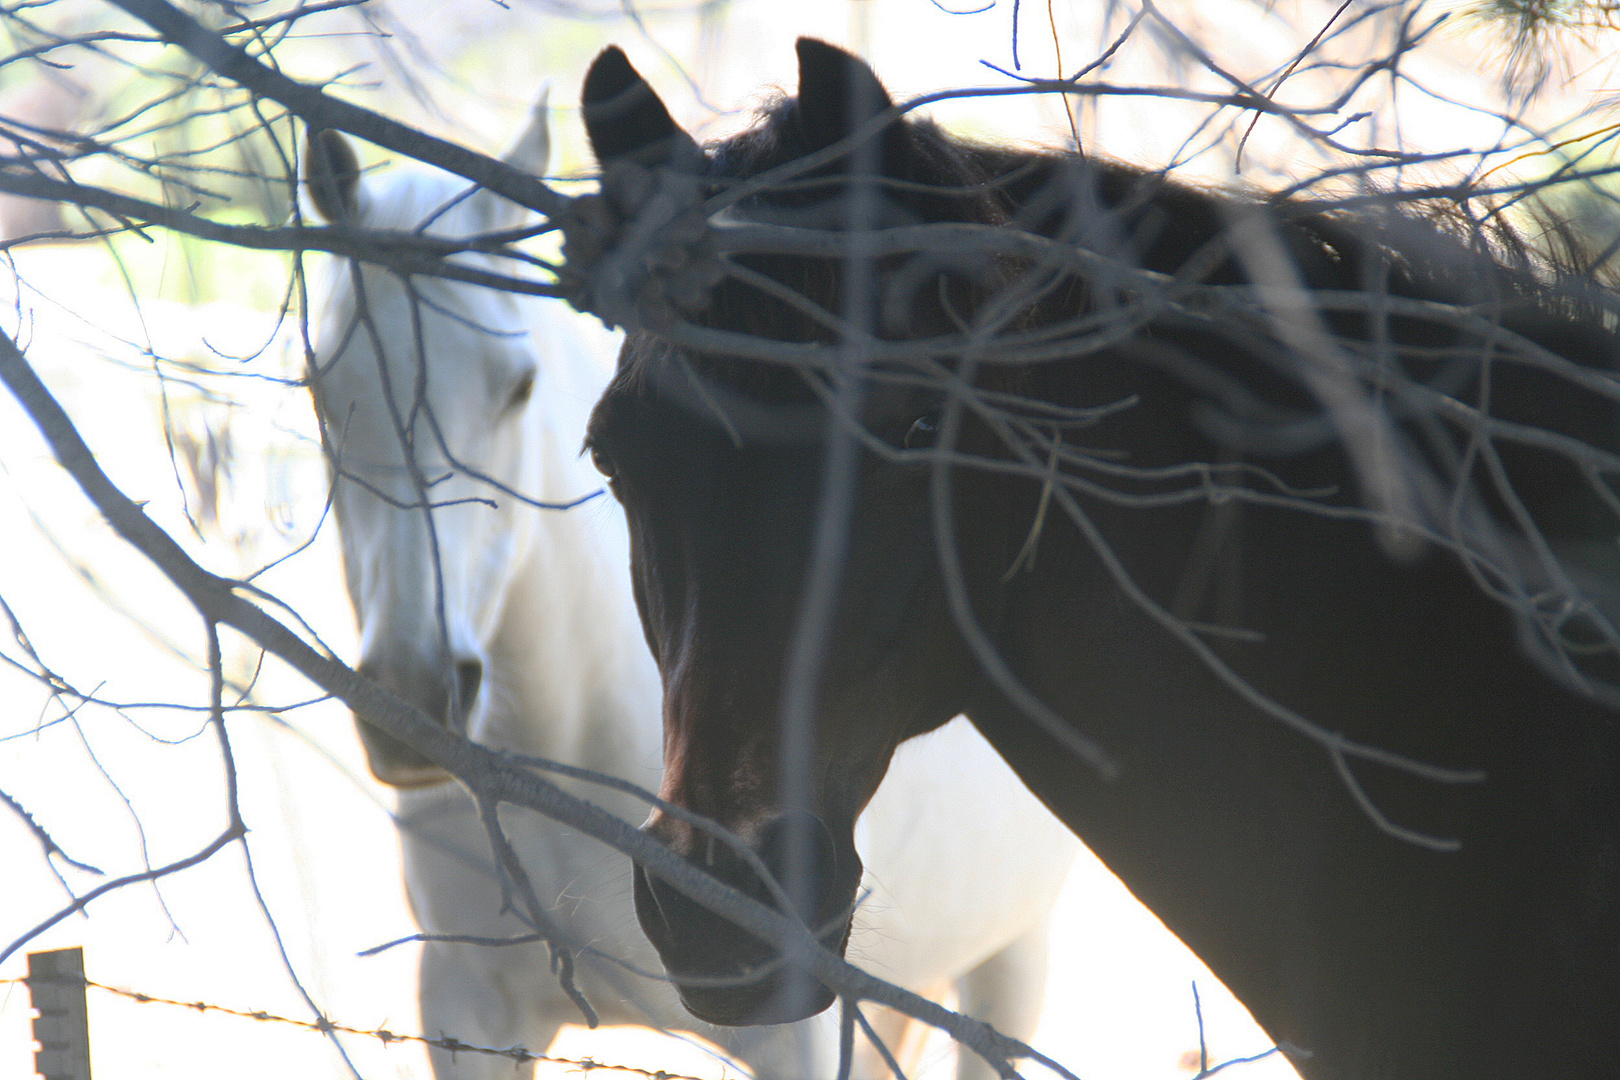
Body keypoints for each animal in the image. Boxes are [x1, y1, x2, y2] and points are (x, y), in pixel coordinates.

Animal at [302, 95, 1075, 1080]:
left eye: (518, 387)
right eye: (321, 388)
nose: (411, 690)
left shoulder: (788, 1033)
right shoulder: (467, 1010)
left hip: (1013, 957)